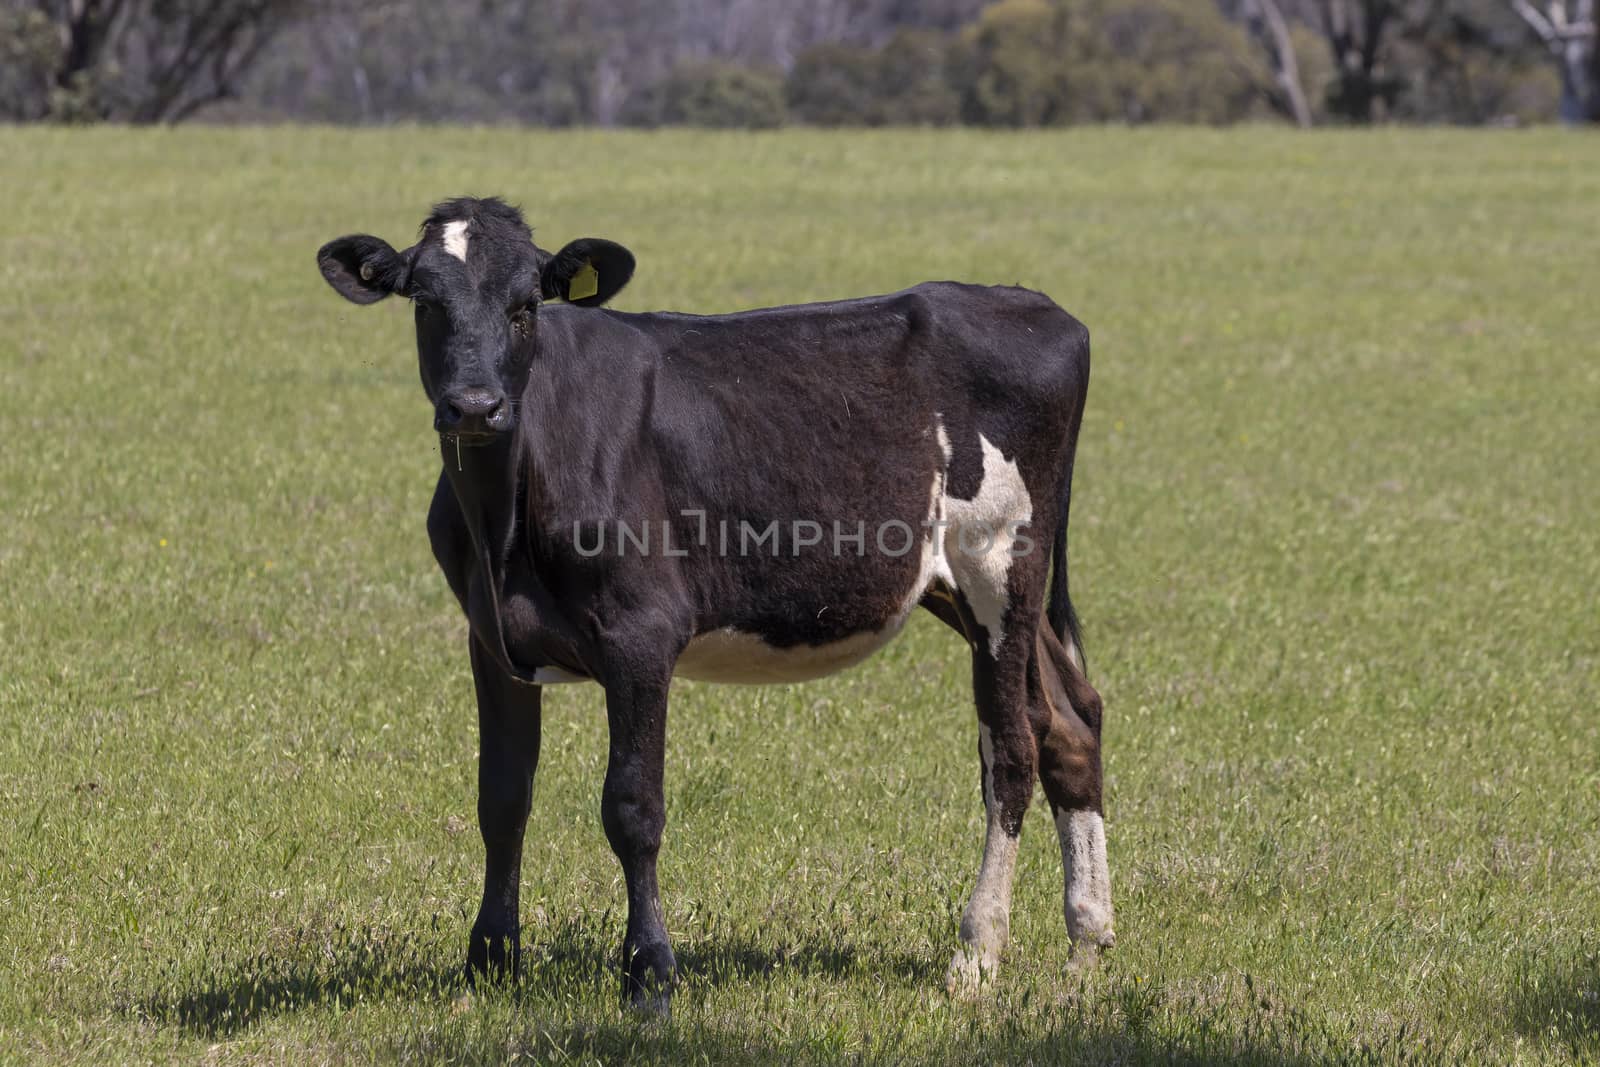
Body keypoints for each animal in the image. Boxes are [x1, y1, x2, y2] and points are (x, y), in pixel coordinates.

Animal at [313, 198, 1113, 1011]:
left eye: (526, 305)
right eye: (424, 301)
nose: (475, 405)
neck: (502, 519)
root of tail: (1034, 306)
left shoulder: (640, 633)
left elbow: (632, 806)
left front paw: (649, 973)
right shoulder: (491, 638)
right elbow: (502, 797)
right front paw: (488, 964)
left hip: (1000, 561)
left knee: (1009, 749)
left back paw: (976, 955)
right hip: (963, 583)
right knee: (1070, 721)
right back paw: (1086, 946)